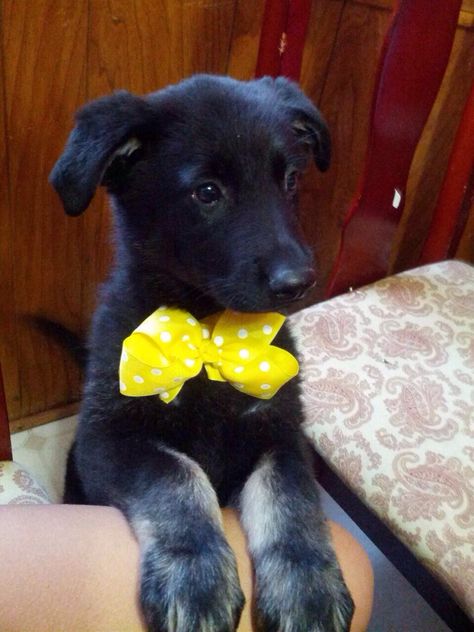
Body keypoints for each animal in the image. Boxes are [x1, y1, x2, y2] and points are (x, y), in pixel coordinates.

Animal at [51, 75, 352, 632]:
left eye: (290, 181)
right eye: (207, 192)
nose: (299, 283)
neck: (212, 334)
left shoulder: (281, 434)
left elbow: (291, 499)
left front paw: (307, 586)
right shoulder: (110, 440)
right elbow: (176, 478)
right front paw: (195, 578)